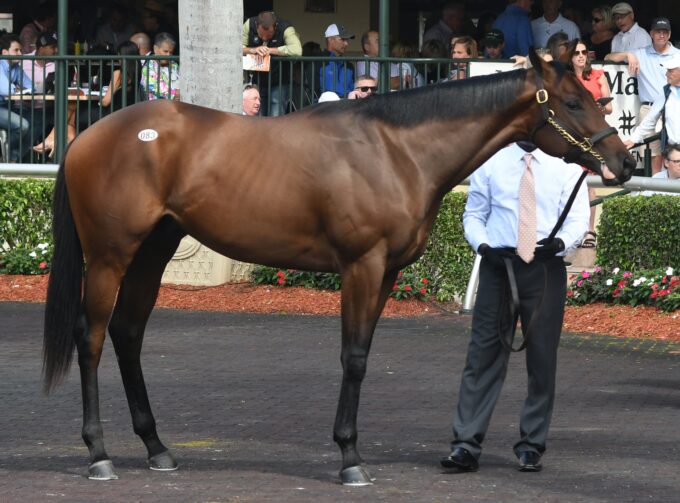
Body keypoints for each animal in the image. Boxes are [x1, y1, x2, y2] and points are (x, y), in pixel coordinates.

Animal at [45, 53, 636, 486]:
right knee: (92, 336)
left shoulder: (387, 272)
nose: (625, 161)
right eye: (572, 101)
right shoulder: (361, 265)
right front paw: (350, 459)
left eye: (594, 96)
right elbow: (352, 358)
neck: (397, 150)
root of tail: (86, 135)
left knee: (128, 333)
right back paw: (99, 454)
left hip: (154, 250)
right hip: (110, 256)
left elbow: (365, 354)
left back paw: (156, 447)